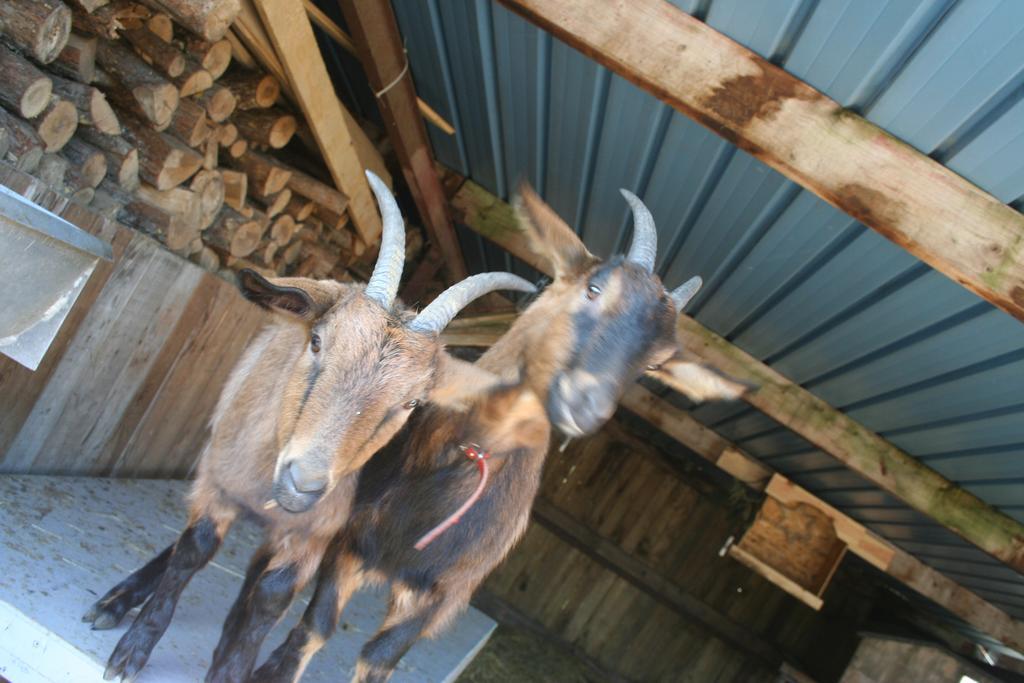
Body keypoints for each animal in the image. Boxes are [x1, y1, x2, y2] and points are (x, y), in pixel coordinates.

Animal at [88, 174, 536, 683]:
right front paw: (133, 649)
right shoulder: (217, 485)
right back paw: (116, 601)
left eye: (412, 402)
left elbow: (274, 597)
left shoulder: (320, 537)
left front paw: (231, 666)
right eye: (318, 341)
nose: (303, 483)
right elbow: (193, 550)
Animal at [246, 184, 745, 679]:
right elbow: (313, 628)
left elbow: (377, 662)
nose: (586, 404)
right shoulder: (346, 544)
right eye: (594, 287)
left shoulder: (441, 600)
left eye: (656, 364)